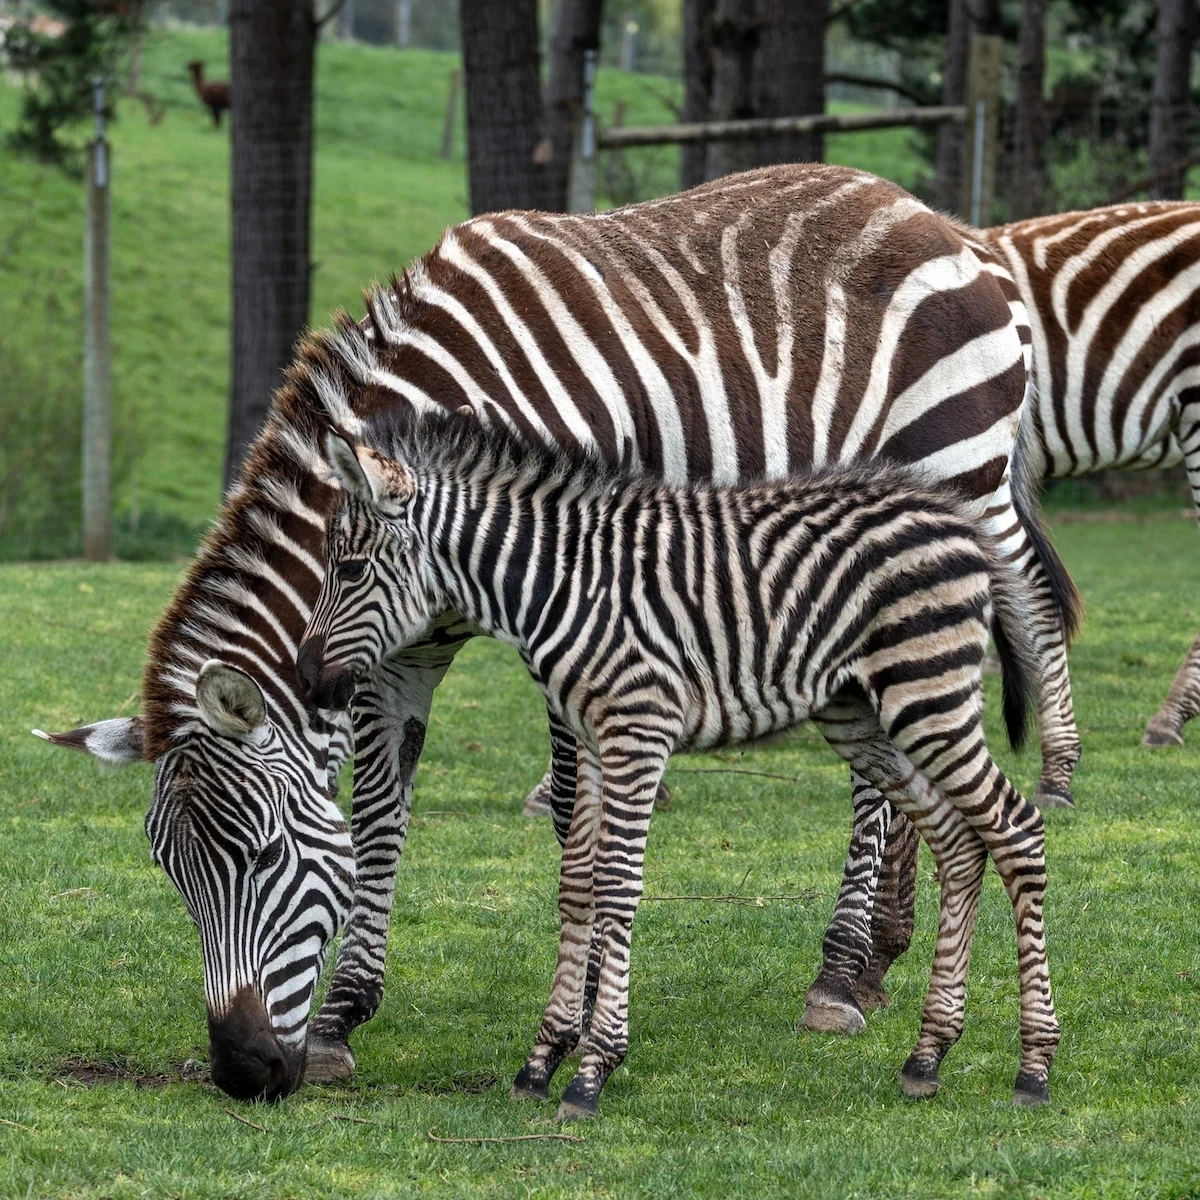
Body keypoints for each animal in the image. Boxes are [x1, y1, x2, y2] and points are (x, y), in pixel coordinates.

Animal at [300, 417, 1060, 1118]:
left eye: (352, 570)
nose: (309, 680)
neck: (556, 585)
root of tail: (958, 520)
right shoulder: (593, 738)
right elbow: (576, 886)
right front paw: (542, 1059)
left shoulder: (639, 729)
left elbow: (616, 886)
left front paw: (593, 1070)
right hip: (865, 714)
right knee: (960, 843)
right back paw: (929, 1053)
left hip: (928, 693)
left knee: (1016, 830)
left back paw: (1034, 1067)